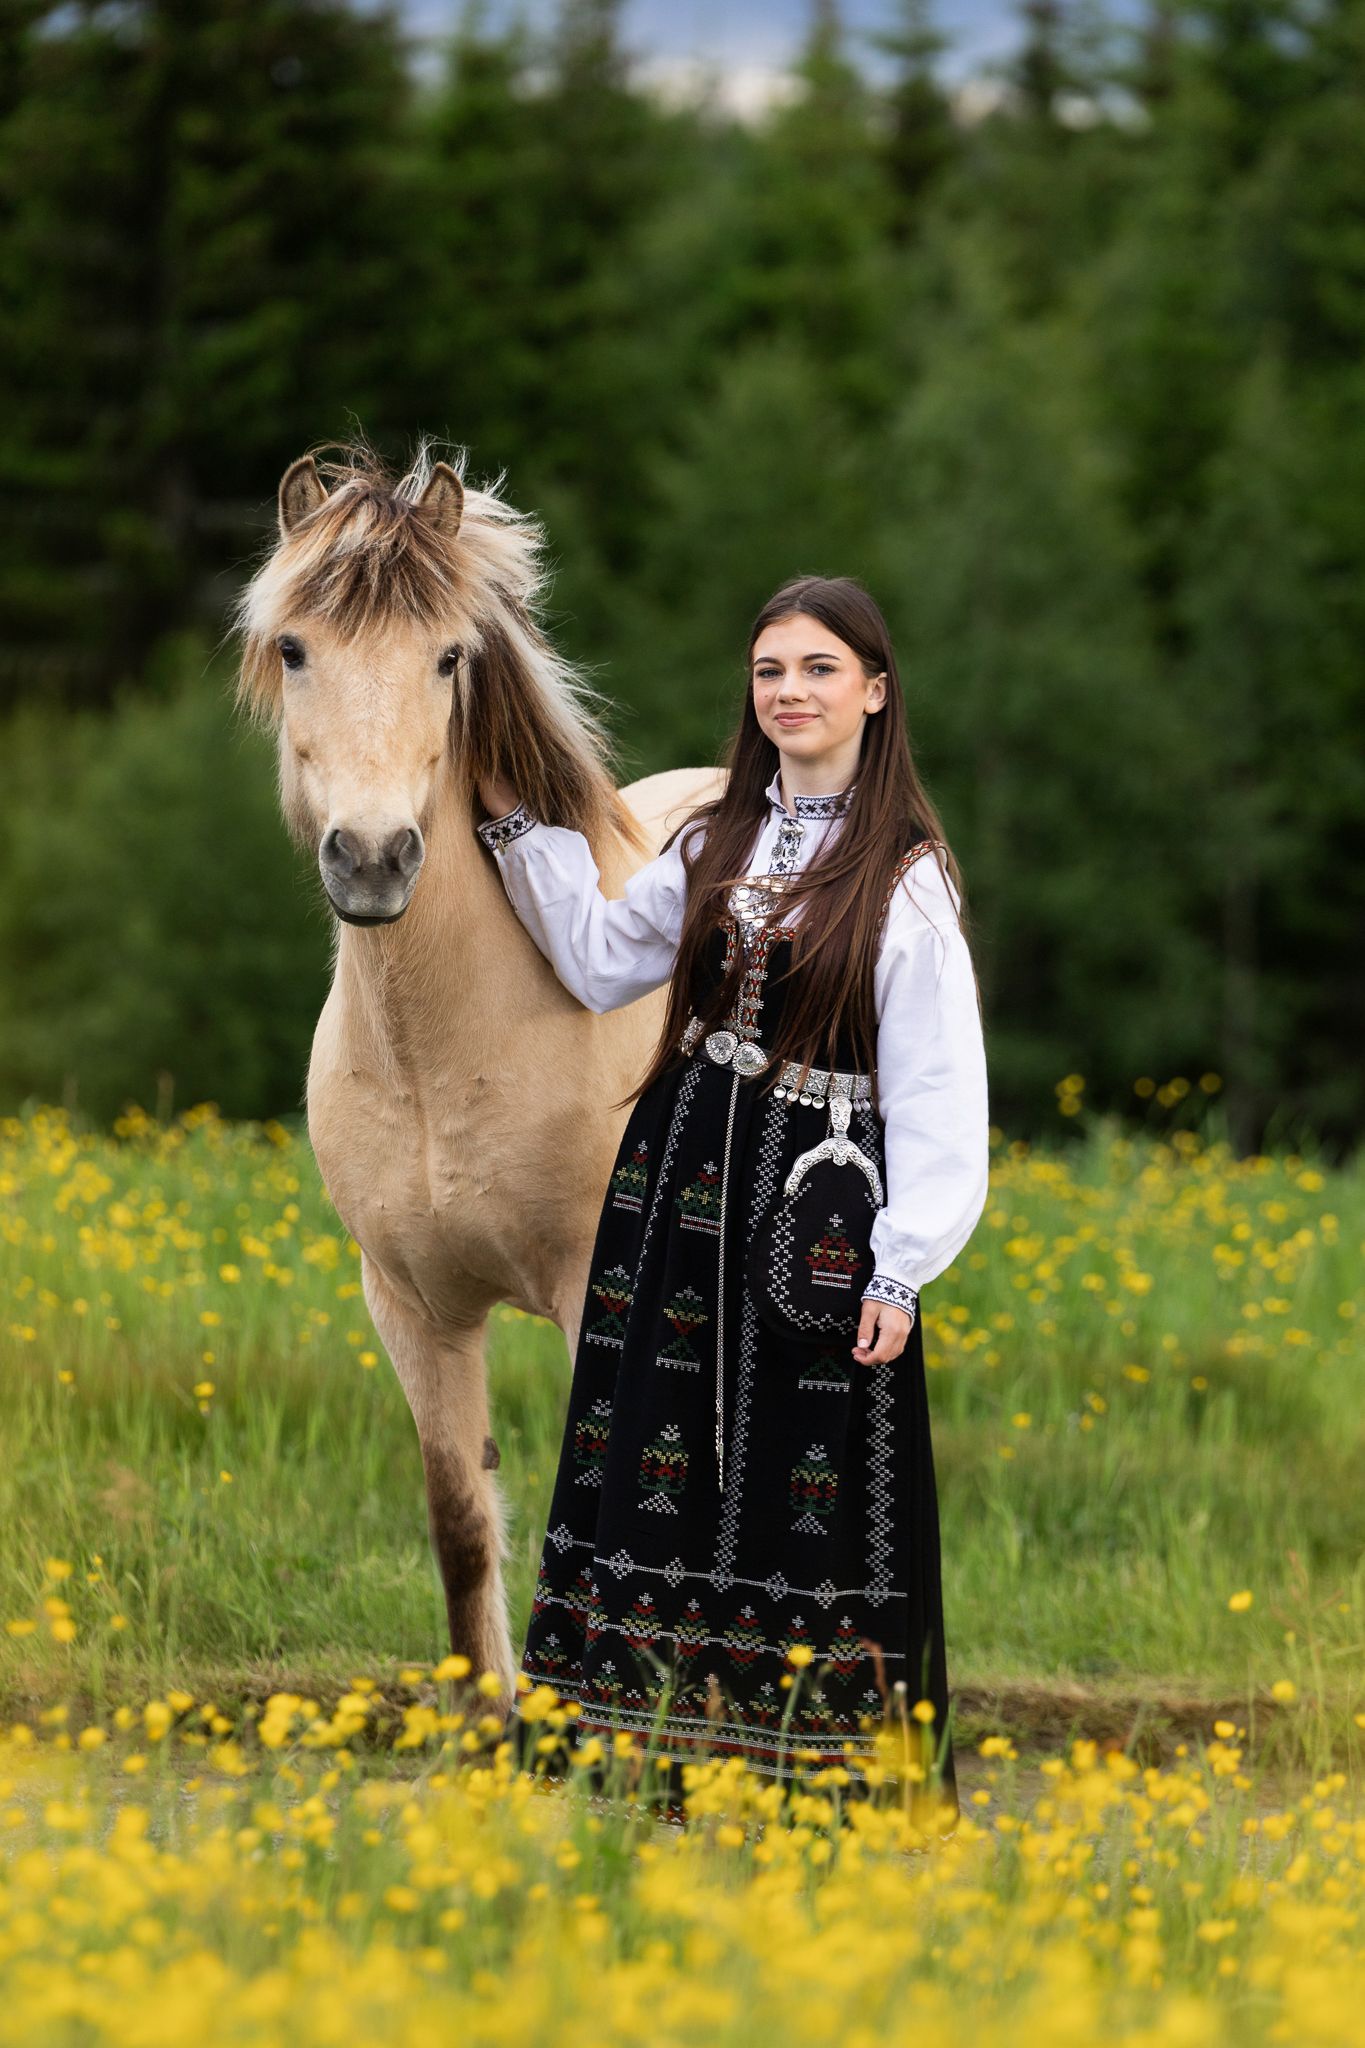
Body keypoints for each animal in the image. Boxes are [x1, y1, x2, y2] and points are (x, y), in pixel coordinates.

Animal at [231, 440, 723, 1701]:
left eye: (449, 655)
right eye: (295, 647)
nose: (372, 856)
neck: (441, 1054)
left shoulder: (586, 1294)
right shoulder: (413, 1307)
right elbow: (462, 1526)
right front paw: (485, 1724)